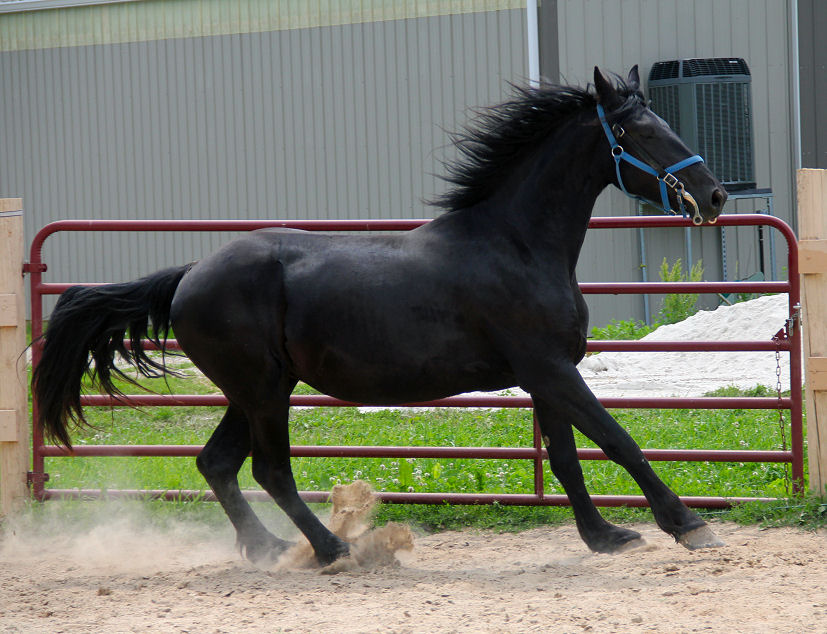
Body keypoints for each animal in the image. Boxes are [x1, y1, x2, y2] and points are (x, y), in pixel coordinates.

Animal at [33, 66, 728, 566]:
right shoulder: (550, 370)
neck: (516, 245)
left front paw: (605, 536)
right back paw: (331, 550)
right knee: (269, 469)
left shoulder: (545, 376)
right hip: (262, 392)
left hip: (255, 390)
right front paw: (688, 524)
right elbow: (617, 440)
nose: (715, 195)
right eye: (640, 133)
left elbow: (564, 458)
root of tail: (189, 276)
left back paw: (270, 551)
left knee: (218, 465)